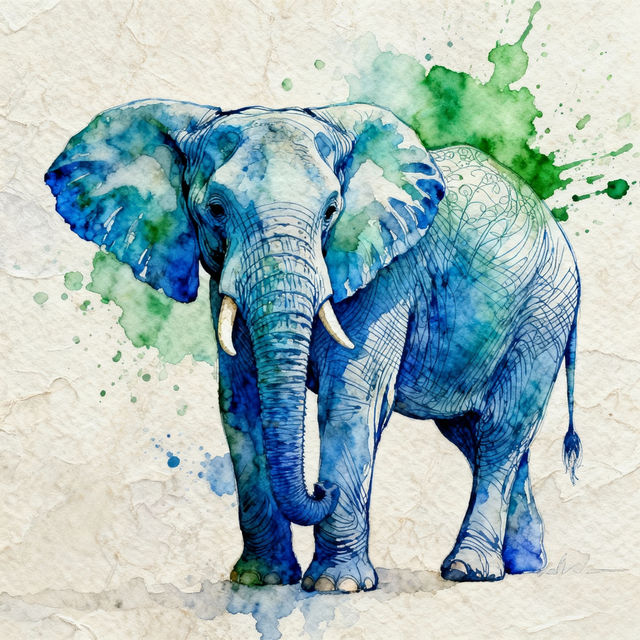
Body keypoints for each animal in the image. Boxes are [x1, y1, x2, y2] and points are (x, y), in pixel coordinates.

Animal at [45, 99, 581, 591]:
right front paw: (260, 581)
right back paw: (523, 564)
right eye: (215, 210)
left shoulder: (387, 275)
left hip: (544, 311)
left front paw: (336, 586)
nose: (321, 488)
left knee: (501, 429)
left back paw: (471, 571)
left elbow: (352, 400)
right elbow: (239, 404)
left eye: (331, 211)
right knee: (475, 435)